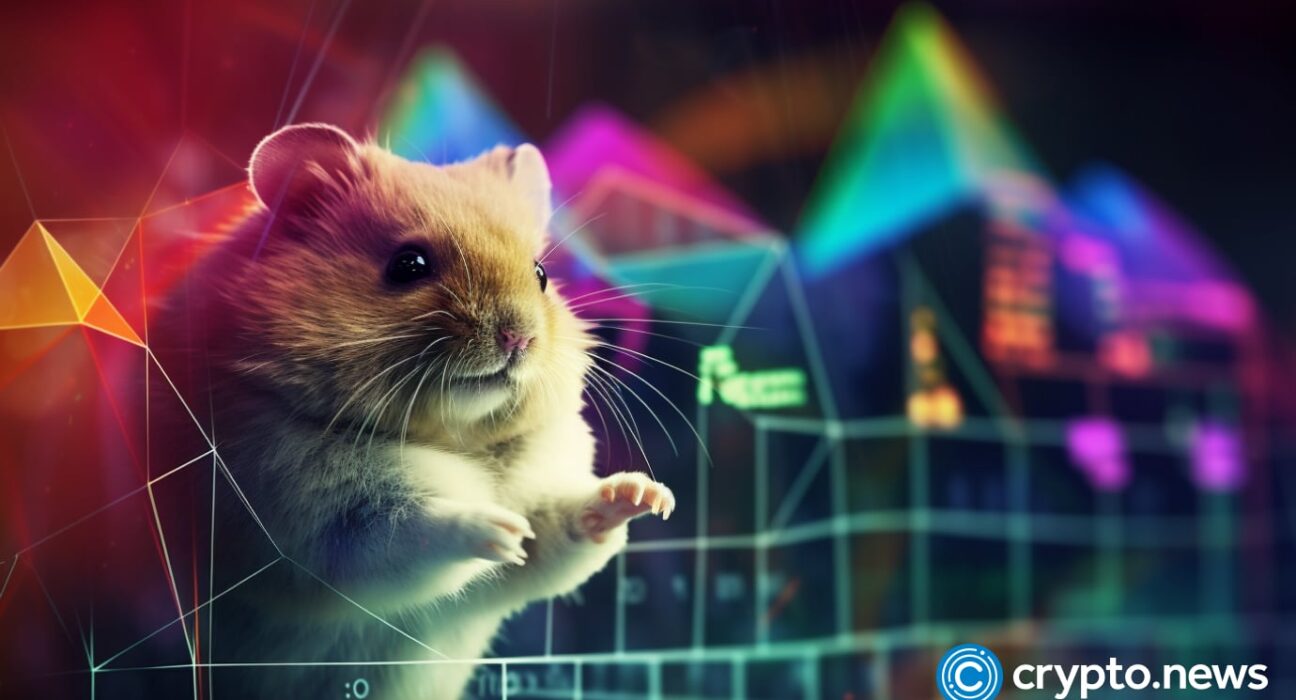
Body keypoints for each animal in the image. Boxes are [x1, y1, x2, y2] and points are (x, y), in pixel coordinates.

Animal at [149, 124, 674, 698]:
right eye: (408, 266)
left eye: (540, 274)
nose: (519, 338)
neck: (452, 437)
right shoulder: (307, 526)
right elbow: (411, 534)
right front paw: (498, 529)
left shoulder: (541, 518)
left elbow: (568, 531)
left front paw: (647, 496)